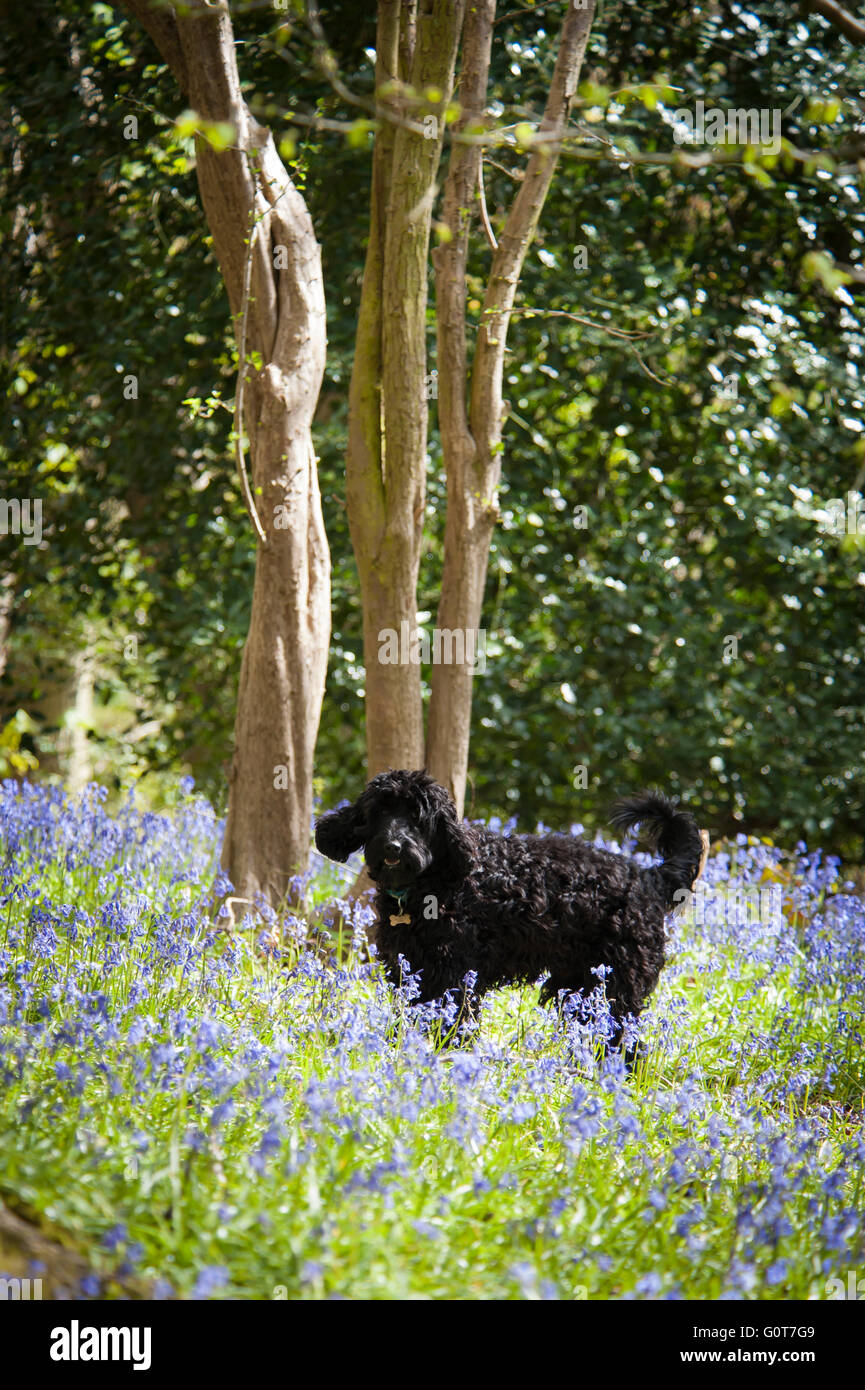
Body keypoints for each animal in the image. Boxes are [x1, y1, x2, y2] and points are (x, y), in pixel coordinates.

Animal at [315, 767, 709, 1045]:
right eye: (380, 811)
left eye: (417, 815)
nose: (393, 846)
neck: (436, 882)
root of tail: (648, 877)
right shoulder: (412, 969)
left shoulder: (453, 975)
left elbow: (452, 1022)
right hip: (581, 985)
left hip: (616, 986)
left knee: (624, 1039)